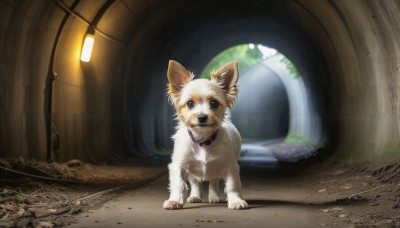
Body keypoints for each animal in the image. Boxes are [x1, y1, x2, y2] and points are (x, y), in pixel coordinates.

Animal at [162, 59, 247, 209]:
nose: (202, 117)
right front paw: (175, 200)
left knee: (213, 182)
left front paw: (235, 201)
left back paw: (214, 197)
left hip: (216, 169)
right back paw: (195, 196)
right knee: (195, 182)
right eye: (190, 103)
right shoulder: (179, 164)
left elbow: (232, 185)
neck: (202, 140)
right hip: (192, 170)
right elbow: (179, 184)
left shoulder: (230, 166)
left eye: (214, 103)